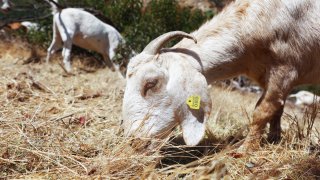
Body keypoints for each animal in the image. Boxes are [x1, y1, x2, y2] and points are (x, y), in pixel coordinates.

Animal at [122, 0, 320, 151]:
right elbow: (277, 110)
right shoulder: (266, 77)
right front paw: (273, 139)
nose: (134, 142)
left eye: (151, 83)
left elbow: (263, 110)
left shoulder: (285, 70)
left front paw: (245, 149)